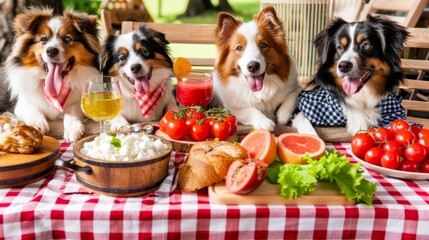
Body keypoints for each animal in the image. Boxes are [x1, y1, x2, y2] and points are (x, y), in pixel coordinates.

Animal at [4, 8, 99, 142]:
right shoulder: (19, 104)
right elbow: (30, 106)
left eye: (67, 39)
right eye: (43, 39)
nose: (51, 51)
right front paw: (37, 122)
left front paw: (72, 127)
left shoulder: (79, 101)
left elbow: (72, 107)